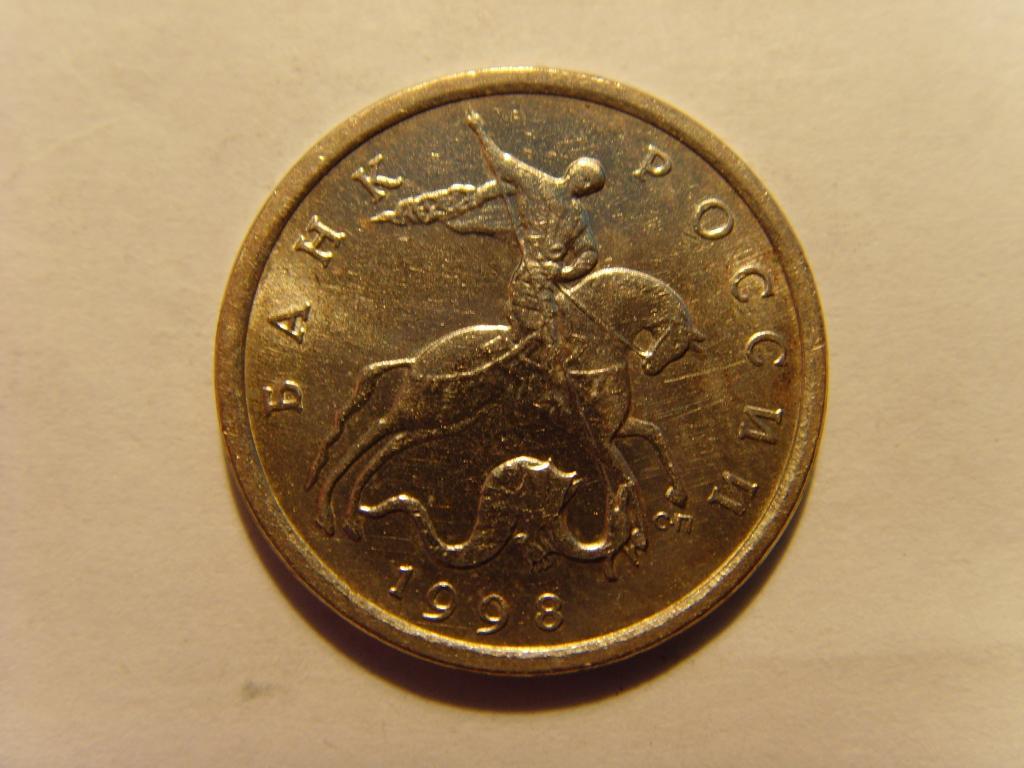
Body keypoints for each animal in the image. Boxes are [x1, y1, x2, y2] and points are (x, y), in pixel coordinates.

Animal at [307, 267, 702, 574]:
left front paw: (673, 496)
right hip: (418, 410)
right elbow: (628, 475)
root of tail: (417, 359)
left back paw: (349, 515)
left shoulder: (610, 431)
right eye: (676, 337)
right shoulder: (599, 438)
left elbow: (653, 435)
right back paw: (327, 509)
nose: (652, 365)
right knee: (371, 433)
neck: (593, 344)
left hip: (438, 421)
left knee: (385, 447)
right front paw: (635, 535)